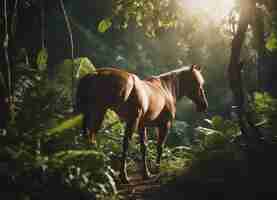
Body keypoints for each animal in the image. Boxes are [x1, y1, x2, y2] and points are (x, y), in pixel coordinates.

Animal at [75, 64, 207, 183]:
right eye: (197, 83)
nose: (204, 105)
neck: (166, 89)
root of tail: (94, 74)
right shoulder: (164, 124)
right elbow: (160, 146)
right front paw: (156, 170)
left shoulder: (142, 126)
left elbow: (144, 147)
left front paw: (146, 174)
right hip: (111, 116)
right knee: (121, 142)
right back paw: (122, 176)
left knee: (89, 137)